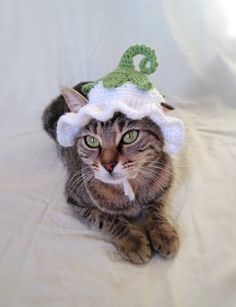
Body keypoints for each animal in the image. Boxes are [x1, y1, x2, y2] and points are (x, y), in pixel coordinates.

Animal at [42, 82, 179, 264]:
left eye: (130, 136)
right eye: (91, 141)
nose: (108, 165)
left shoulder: (163, 186)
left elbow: (156, 208)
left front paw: (163, 232)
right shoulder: (75, 199)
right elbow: (107, 217)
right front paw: (132, 240)